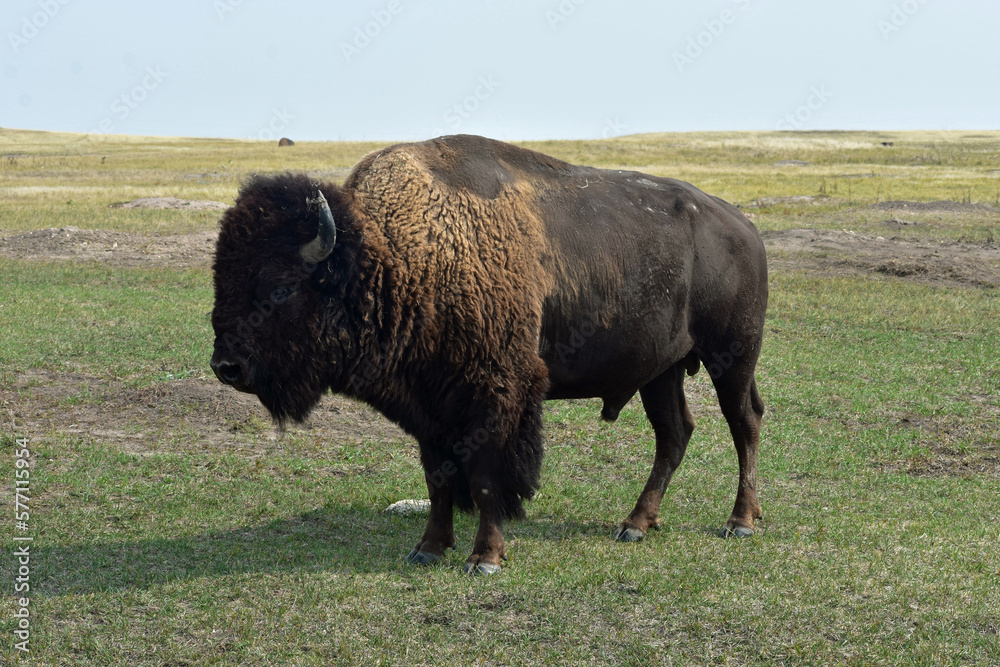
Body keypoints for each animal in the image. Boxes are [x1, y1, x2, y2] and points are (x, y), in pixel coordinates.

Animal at [211, 134, 768, 576]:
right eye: (222, 276)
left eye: (281, 288)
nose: (225, 366)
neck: (398, 257)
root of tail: (742, 226)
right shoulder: (430, 407)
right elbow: (437, 478)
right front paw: (428, 549)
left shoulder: (496, 394)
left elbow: (485, 480)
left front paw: (485, 558)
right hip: (661, 370)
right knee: (674, 433)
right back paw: (635, 524)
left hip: (732, 356)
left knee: (743, 423)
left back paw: (739, 522)